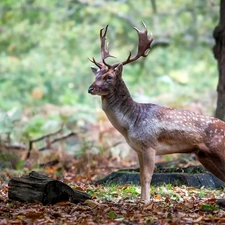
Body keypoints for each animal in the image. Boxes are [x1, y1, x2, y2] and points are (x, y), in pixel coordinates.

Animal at [88, 23, 225, 202]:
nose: (90, 89)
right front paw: (141, 201)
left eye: (108, 77)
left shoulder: (150, 145)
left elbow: (147, 177)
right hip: (204, 155)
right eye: (96, 75)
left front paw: (147, 202)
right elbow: (140, 177)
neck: (131, 123)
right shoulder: (138, 150)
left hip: (219, 149)